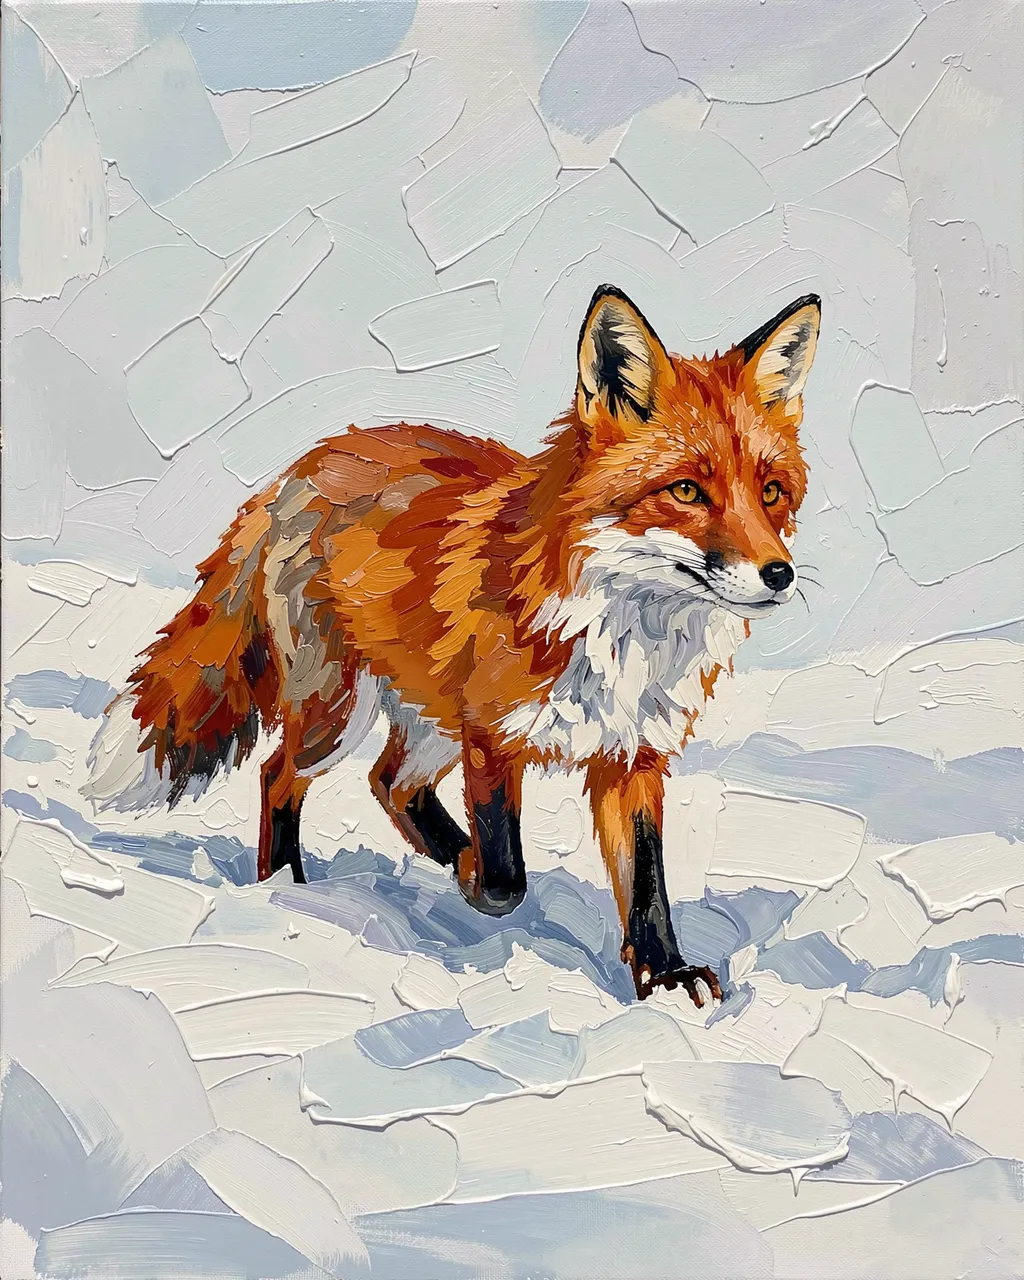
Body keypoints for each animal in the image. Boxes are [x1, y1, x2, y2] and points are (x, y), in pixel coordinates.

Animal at [84, 285, 820, 1006]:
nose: (779, 574)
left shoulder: (632, 754)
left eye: (771, 492)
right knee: (277, 777)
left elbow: (646, 885)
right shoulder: (492, 735)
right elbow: (504, 875)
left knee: (388, 782)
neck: (618, 636)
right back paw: (289, 892)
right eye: (687, 490)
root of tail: (299, 469)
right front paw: (474, 875)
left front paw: (664, 978)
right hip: (340, 715)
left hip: (427, 717)